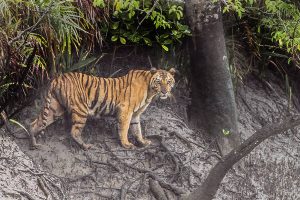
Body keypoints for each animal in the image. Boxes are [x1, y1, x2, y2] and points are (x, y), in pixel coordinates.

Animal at [29, 68, 176, 149]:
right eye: (159, 82)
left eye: (168, 81)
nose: (164, 91)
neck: (150, 91)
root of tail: (58, 78)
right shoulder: (126, 110)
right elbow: (124, 129)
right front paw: (126, 144)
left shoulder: (135, 115)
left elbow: (137, 129)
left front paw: (143, 142)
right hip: (81, 109)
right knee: (74, 131)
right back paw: (86, 146)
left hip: (55, 108)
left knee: (35, 123)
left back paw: (33, 143)